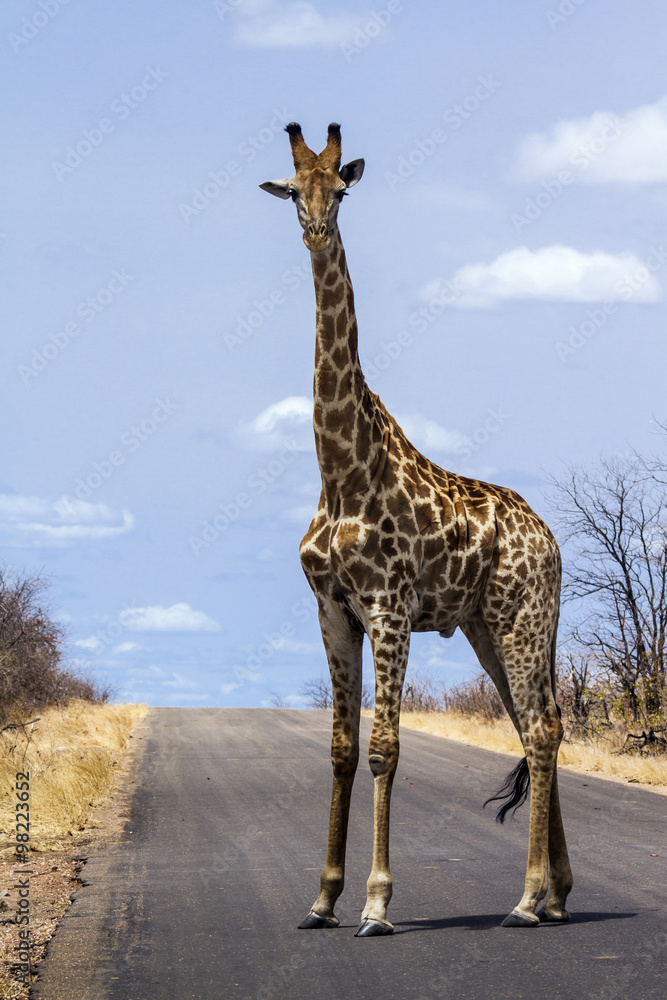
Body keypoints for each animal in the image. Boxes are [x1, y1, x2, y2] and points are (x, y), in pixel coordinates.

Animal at [260, 122, 572, 936]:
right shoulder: (332, 608)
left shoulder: (390, 607)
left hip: (522, 618)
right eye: (291, 189)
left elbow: (385, 748)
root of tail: (552, 542)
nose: (315, 230)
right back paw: (557, 895)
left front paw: (375, 903)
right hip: (491, 627)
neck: (341, 471)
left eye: (340, 191)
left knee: (542, 729)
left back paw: (527, 899)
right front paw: (322, 898)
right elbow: (341, 747)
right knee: (538, 725)